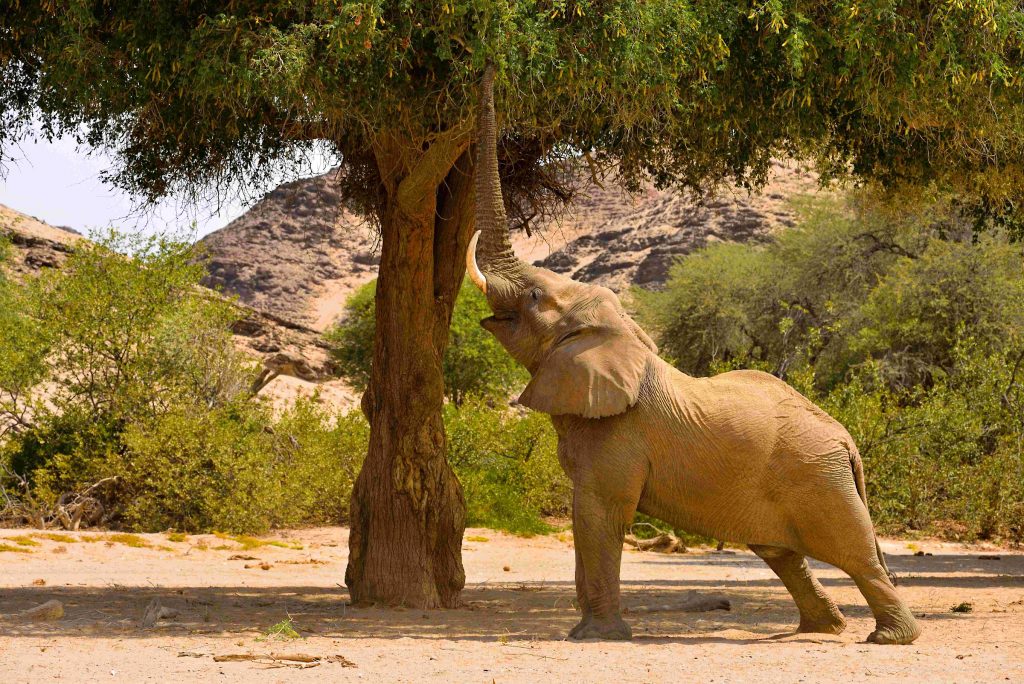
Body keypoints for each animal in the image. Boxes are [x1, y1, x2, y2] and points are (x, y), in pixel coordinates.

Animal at [463, 66, 921, 645]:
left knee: (854, 555)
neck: (620, 334)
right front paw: (586, 632)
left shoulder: (618, 436)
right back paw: (822, 629)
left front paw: (596, 637)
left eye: (533, 298)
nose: (487, 67)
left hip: (819, 478)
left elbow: (600, 515)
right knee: (783, 554)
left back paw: (889, 638)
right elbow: (589, 517)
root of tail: (847, 439)